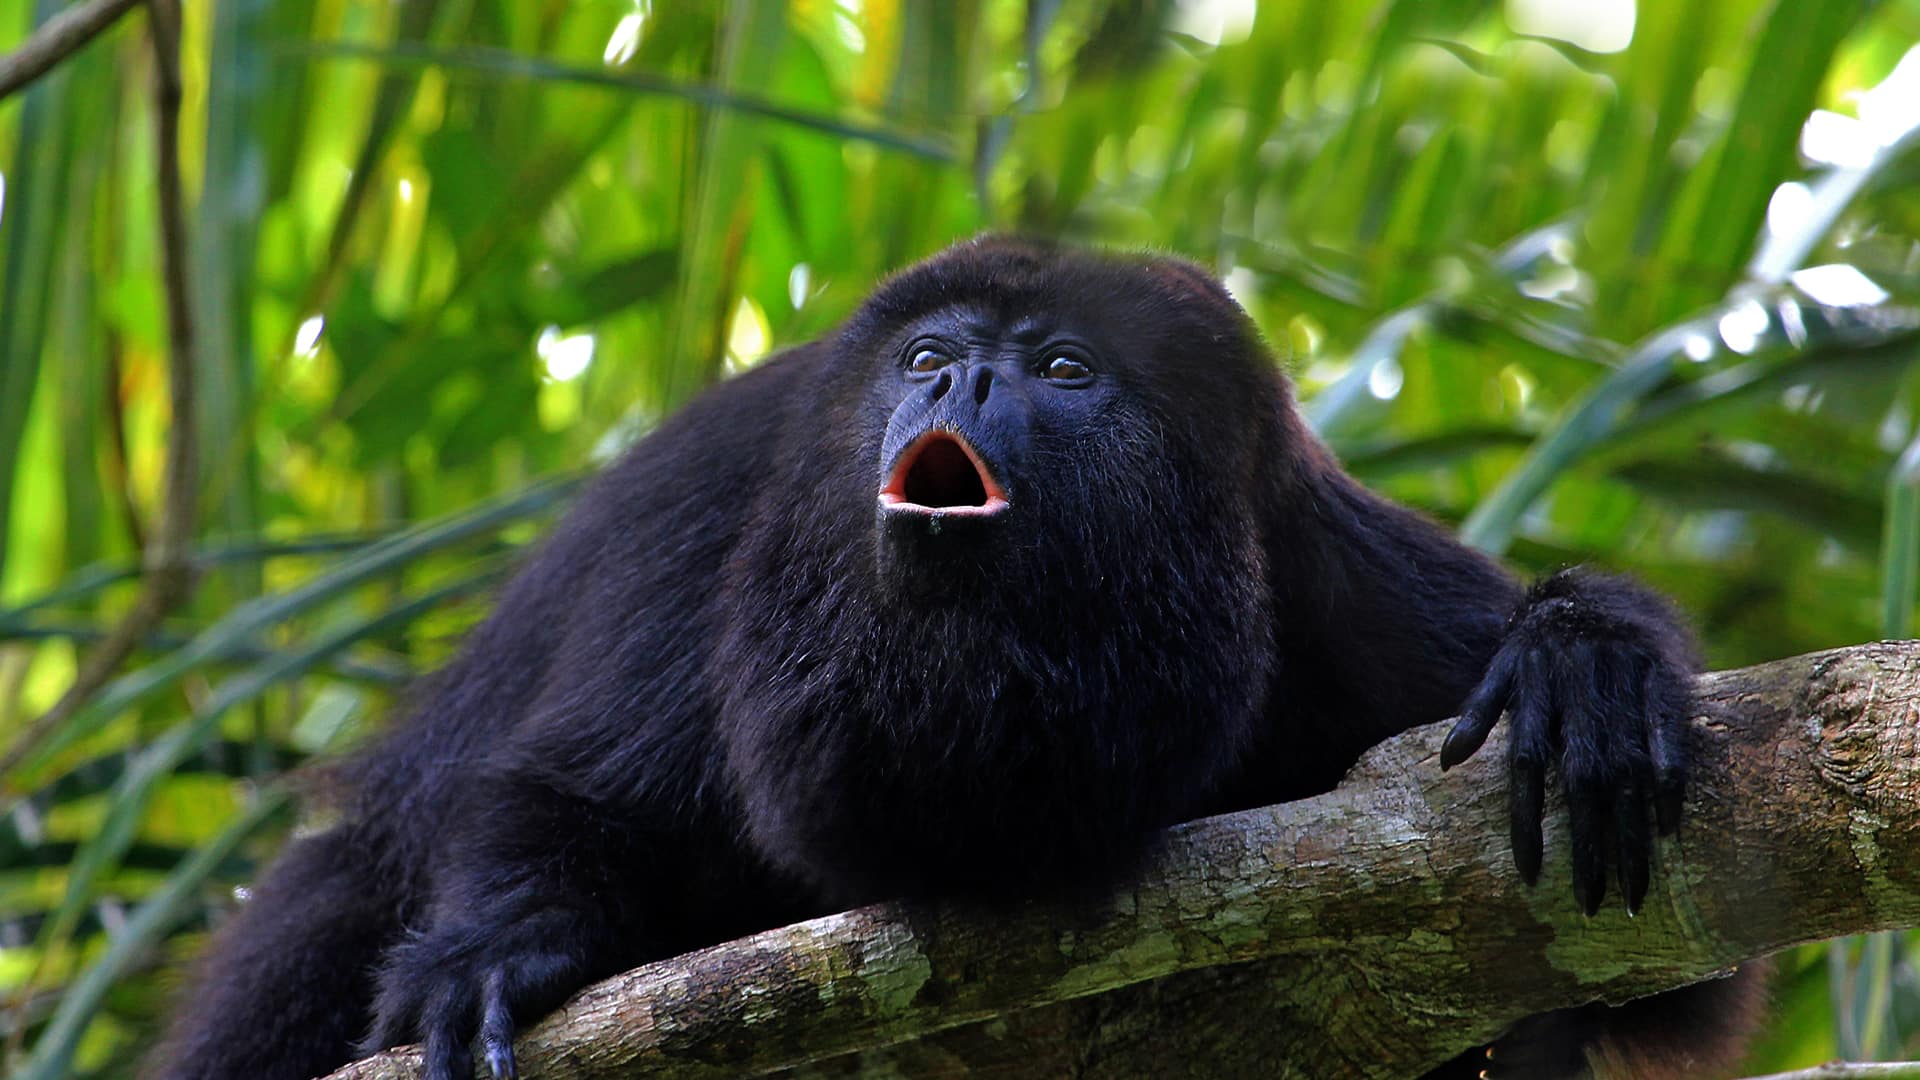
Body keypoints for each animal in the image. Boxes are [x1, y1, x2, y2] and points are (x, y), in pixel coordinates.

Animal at [146, 237, 1763, 1080]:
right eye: (928, 358)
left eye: (1063, 369)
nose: (968, 377)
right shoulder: (727, 503)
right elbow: (578, 792)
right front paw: (501, 949)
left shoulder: (1321, 566)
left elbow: (1665, 984)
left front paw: (1580, 663)